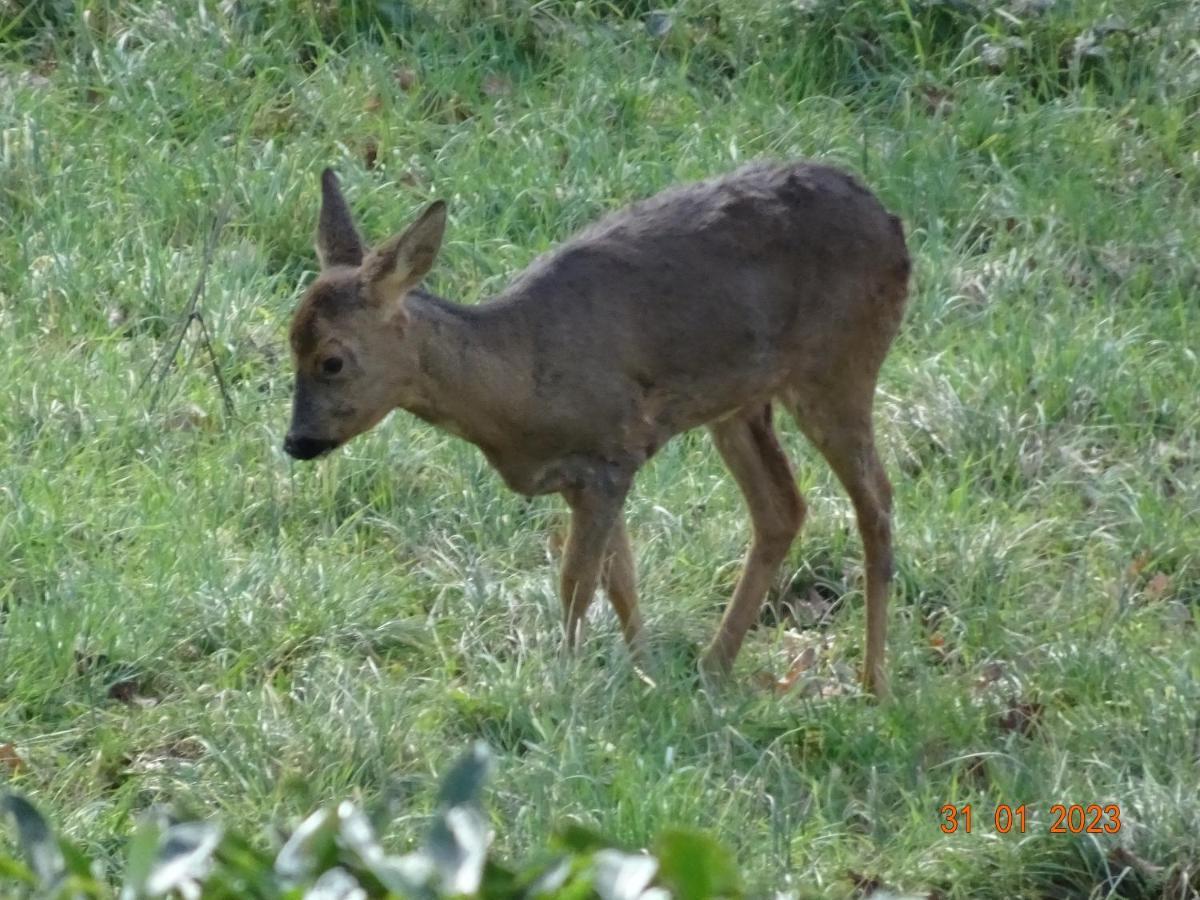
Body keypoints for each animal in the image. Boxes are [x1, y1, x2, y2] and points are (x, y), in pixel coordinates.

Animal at [280, 162, 907, 696]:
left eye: (332, 360)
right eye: (290, 341)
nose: (296, 442)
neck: (516, 383)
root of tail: (893, 225)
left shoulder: (612, 451)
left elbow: (576, 581)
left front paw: (565, 682)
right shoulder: (588, 474)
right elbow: (619, 579)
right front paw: (645, 676)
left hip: (841, 362)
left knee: (875, 499)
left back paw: (873, 683)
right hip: (741, 403)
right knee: (781, 508)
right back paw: (713, 668)